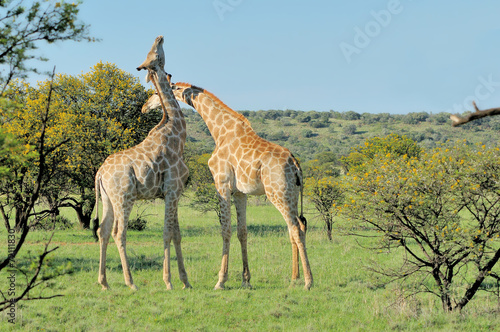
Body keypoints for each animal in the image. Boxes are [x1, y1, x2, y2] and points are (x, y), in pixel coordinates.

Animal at [93, 36, 190, 290]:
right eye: (155, 54)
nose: (159, 37)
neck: (176, 134)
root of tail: (99, 173)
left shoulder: (173, 192)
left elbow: (177, 234)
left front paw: (186, 281)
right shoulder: (172, 189)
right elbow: (167, 233)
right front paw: (168, 281)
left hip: (107, 198)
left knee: (102, 230)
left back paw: (104, 282)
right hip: (124, 196)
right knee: (118, 232)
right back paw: (130, 282)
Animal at [143, 81, 312, 290]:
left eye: (154, 92)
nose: (144, 107)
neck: (220, 131)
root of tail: (296, 165)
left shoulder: (221, 183)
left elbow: (225, 230)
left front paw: (221, 281)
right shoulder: (240, 192)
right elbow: (242, 231)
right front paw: (246, 280)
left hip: (277, 193)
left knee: (296, 228)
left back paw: (308, 282)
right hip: (291, 195)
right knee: (296, 228)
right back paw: (294, 278)